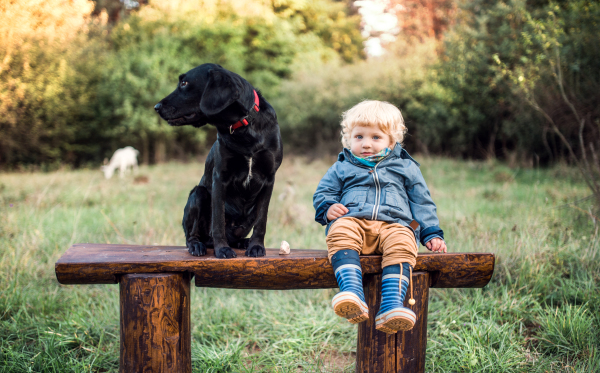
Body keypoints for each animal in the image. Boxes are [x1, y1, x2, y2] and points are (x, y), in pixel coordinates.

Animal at [156, 63, 284, 256]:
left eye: (184, 83)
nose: (156, 107)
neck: (244, 129)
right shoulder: (220, 177)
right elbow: (217, 220)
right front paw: (222, 249)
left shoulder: (269, 178)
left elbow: (262, 220)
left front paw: (256, 246)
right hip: (198, 193)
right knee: (193, 236)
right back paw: (198, 245)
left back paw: (243, 242)